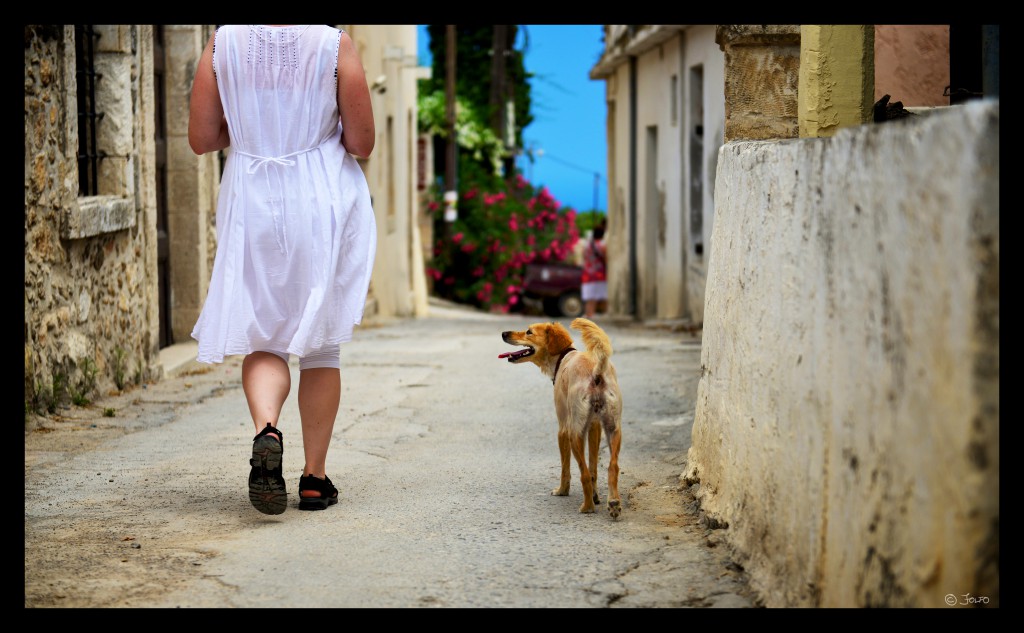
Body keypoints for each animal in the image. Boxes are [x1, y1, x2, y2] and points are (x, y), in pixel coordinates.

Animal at [497, 317, 622, 514]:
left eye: (529, 332)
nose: (504, 333)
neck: (563, 357)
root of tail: (596, 371)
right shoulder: (595, 427)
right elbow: (594, 467)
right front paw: (596, 496)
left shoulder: (563, 428)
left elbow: (566, 468)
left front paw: (562, 490)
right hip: (613, 429)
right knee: (612, 467)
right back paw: (613, 502)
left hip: (574, 433)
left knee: (584, 474)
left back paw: (587, 507)